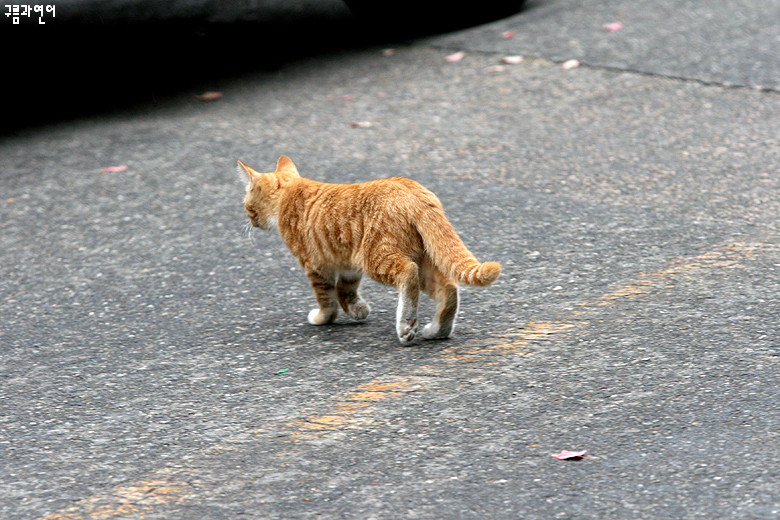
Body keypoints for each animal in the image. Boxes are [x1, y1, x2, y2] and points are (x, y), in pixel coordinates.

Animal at [239, 156, 500, 344]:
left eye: (246, 205)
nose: (249, 220)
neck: (289, 192)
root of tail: (413, 192)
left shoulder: (315, 265)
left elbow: (327, 299)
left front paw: (323, 318)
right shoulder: (347, 263)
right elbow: (345, 291)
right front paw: (357, 310)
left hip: (377, 257)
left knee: (408, 274)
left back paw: (406, 324)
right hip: (422, 258)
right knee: (448, 289)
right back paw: (438, 330)